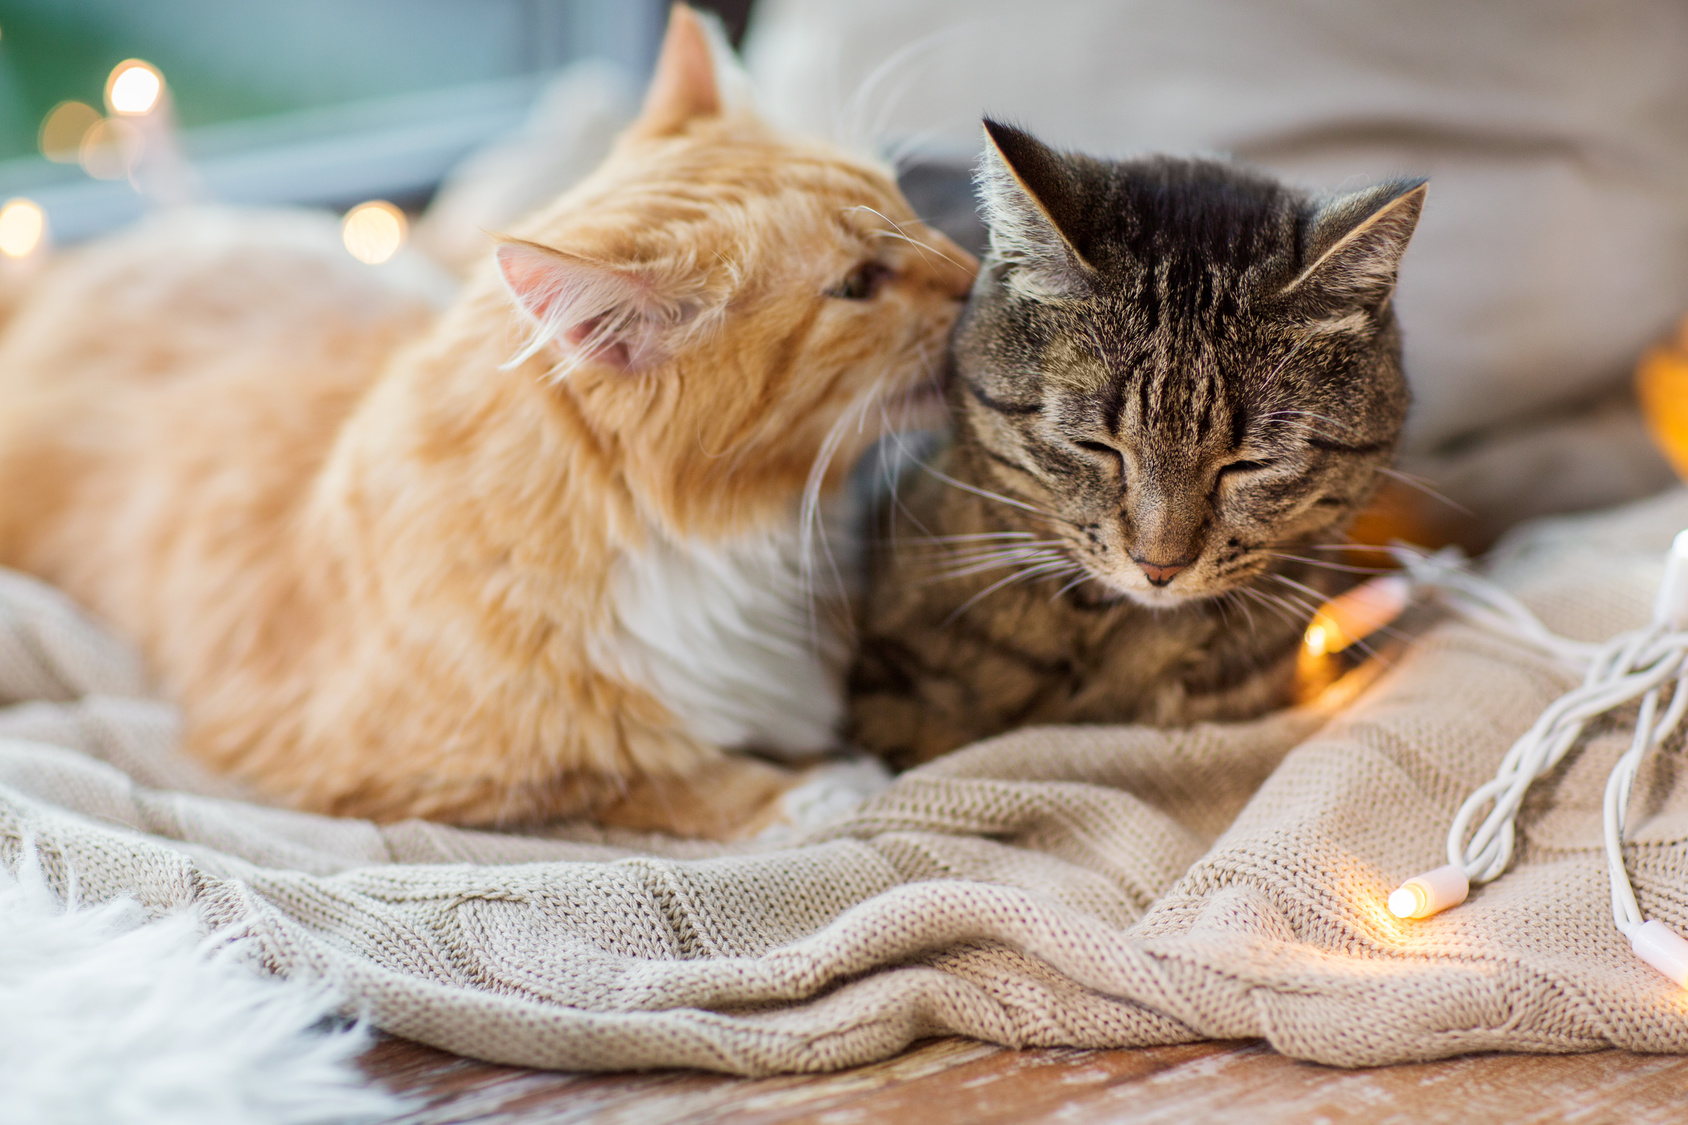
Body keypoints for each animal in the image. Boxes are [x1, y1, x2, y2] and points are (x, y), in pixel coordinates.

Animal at [0, 6, 979, 831]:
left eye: (905, 203)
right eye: (858, 285)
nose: (979, 280)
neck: (734, 542)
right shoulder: (418, 768)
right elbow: (668, 774)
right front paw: (825, 786)